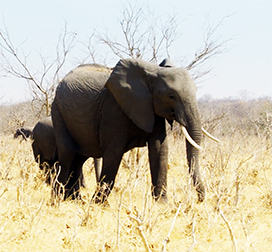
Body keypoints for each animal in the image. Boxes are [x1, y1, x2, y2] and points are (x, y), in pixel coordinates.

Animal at [51, 58, 211, 203]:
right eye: (171, 96)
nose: (199, 200)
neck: (153, 72)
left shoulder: (152, 109)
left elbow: (160, 149)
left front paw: (162, 204)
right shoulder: (114, 109)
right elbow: (114, 152)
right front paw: (98, 204)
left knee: (78, 159)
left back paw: (73, 200)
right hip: (58, 112)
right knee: (67, 154)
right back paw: (58, 199)